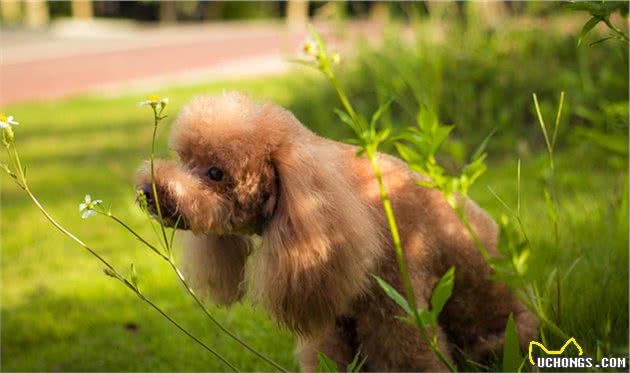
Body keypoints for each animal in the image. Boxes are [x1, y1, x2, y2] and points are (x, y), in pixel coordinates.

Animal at [137, 91, 540, 370]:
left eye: (215, 173)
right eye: (185, 160)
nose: (149, 192)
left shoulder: (397, 312)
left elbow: (410, 358)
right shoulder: (332, 322)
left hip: (502, 338)